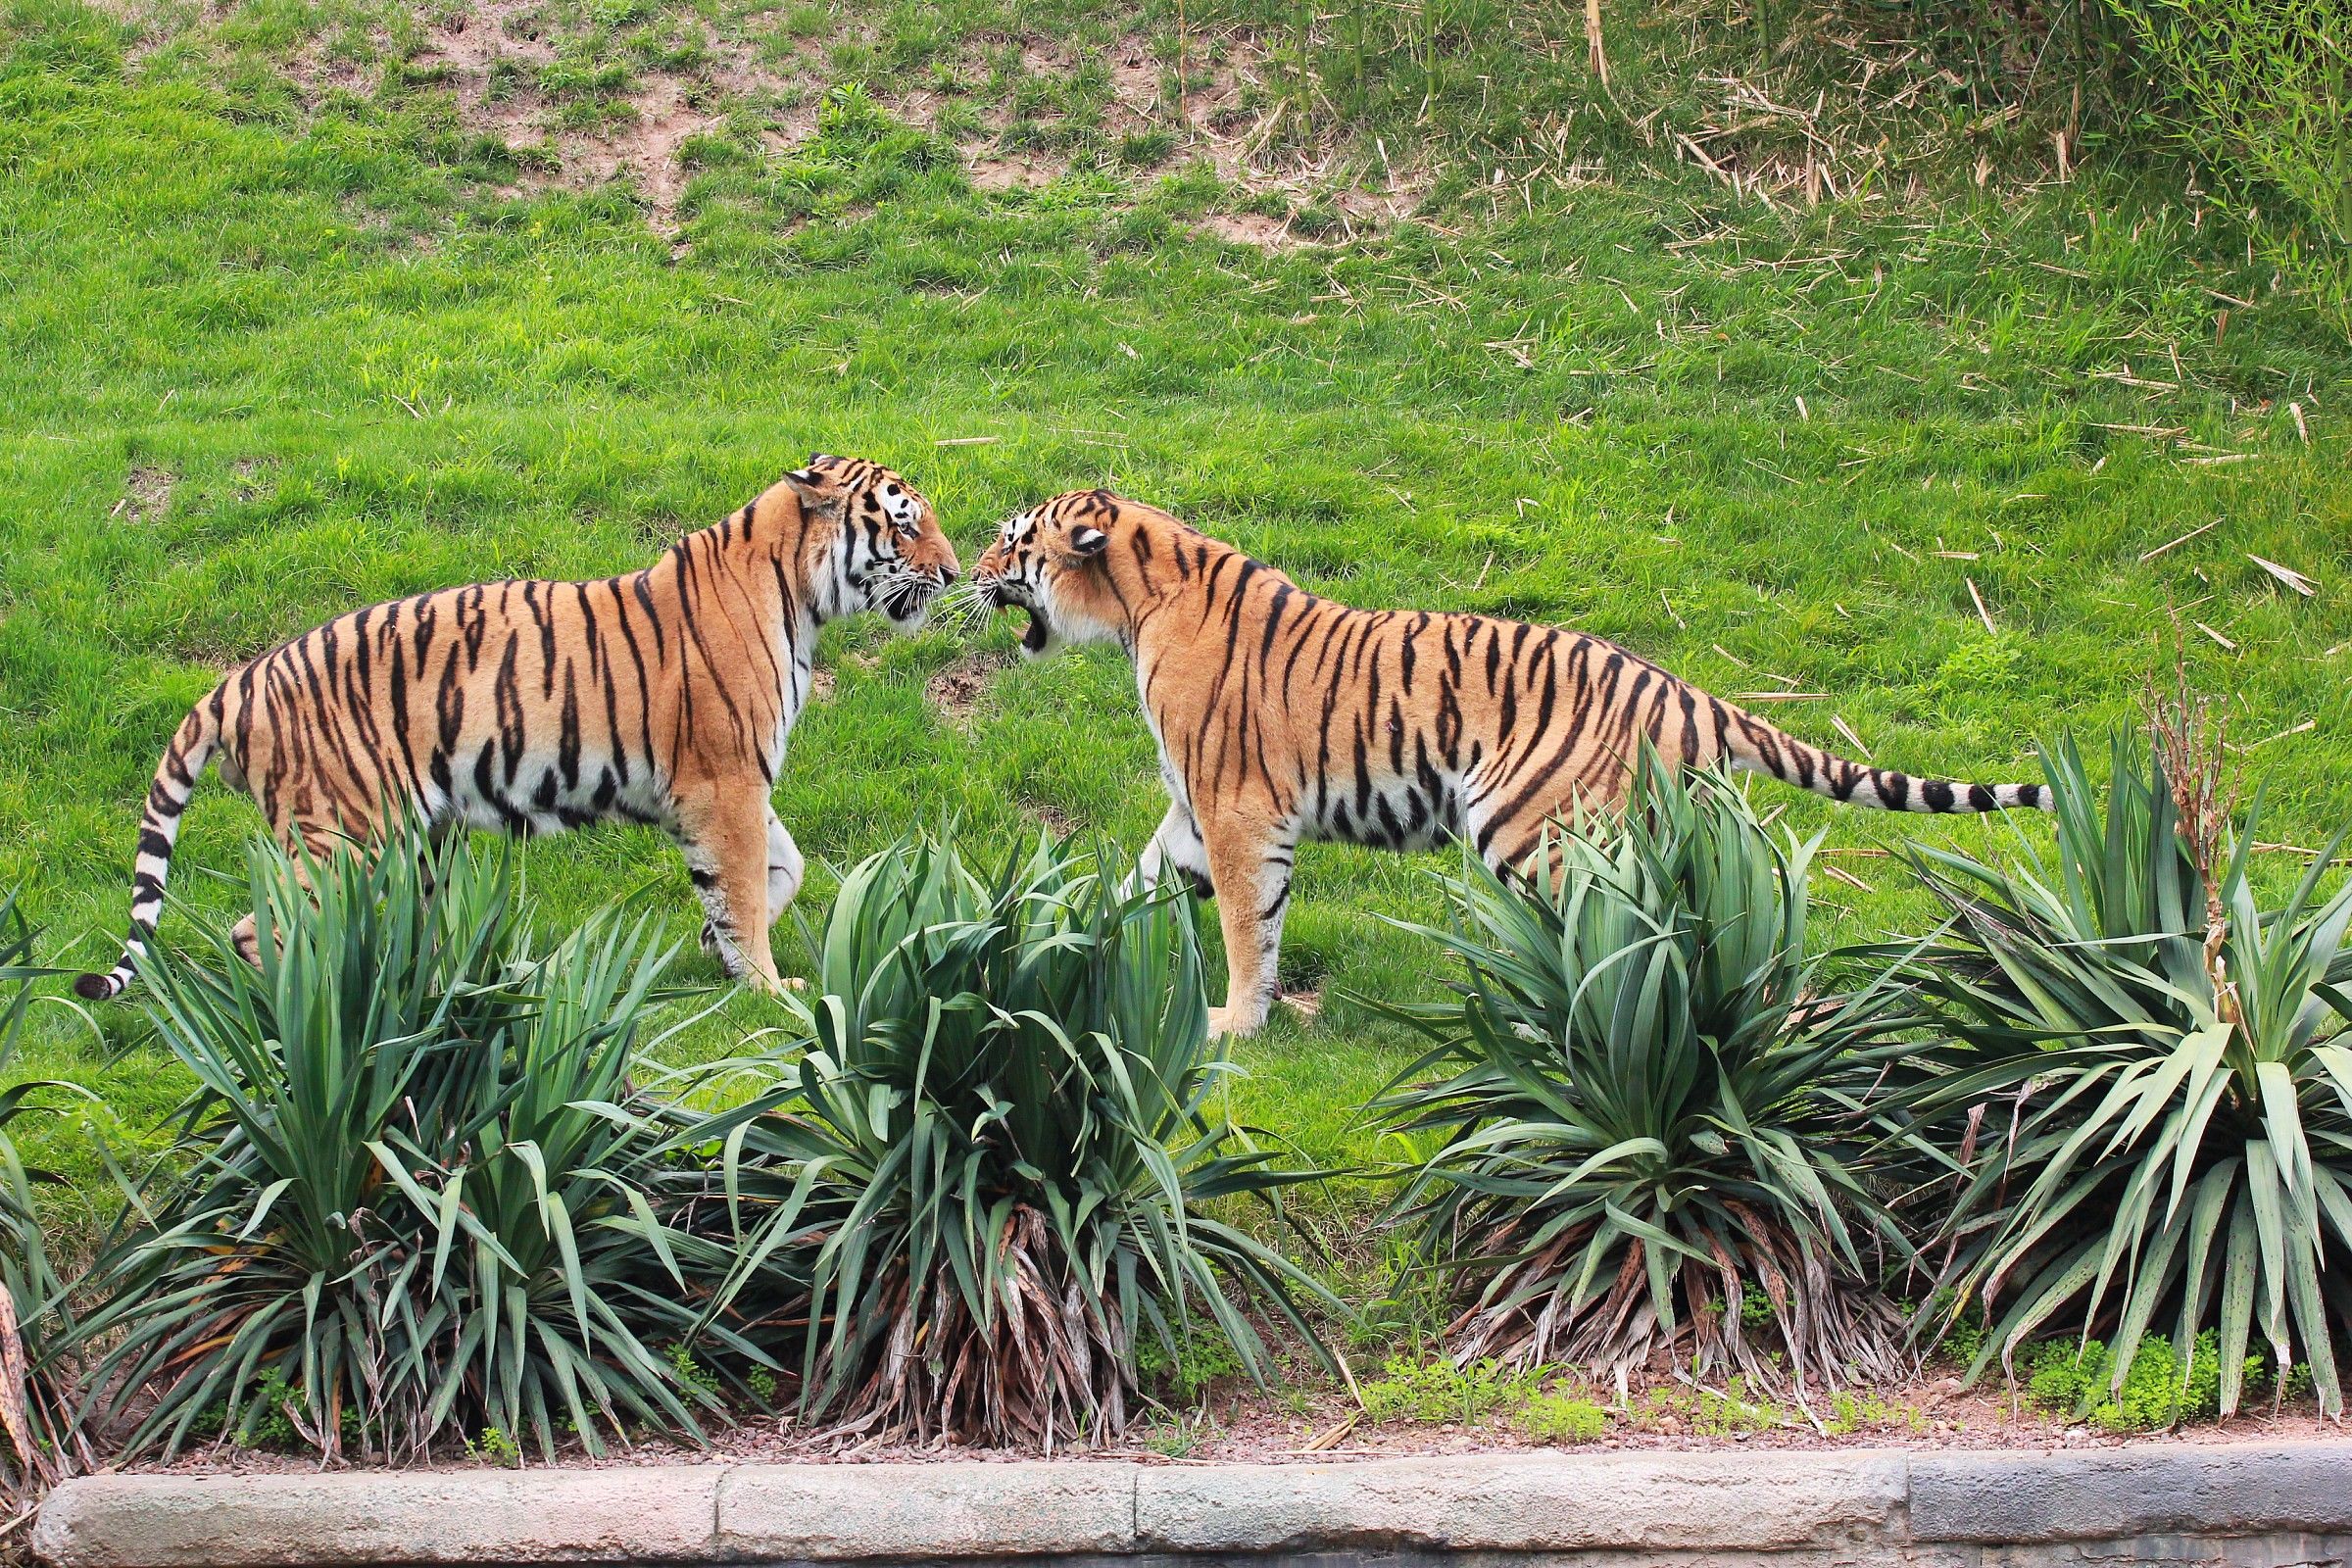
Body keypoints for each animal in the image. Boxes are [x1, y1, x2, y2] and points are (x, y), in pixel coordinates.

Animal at [75, 454, 959, 1001]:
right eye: (904, 524)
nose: (953, 573)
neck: (802, 595)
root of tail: (240, 679)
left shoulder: (731, 786)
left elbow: (782, 869)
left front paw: (723, 950)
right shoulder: (725, 779)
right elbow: (743, 884)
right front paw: (769, 987)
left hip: (407, 842)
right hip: (346, 836)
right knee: (261, 932)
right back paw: (324, 1022)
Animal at [970, 489, 2049, 1037]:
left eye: (1012, 541)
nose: (969, 573)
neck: (1137, 605)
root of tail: (1683, 689)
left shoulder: (1237, 810)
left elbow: (1246, 928)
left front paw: (1234, 1024)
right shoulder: (1194, 816)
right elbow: (1135, 884)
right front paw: (1057, 947)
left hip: (1536, 828)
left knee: (1616, 935)